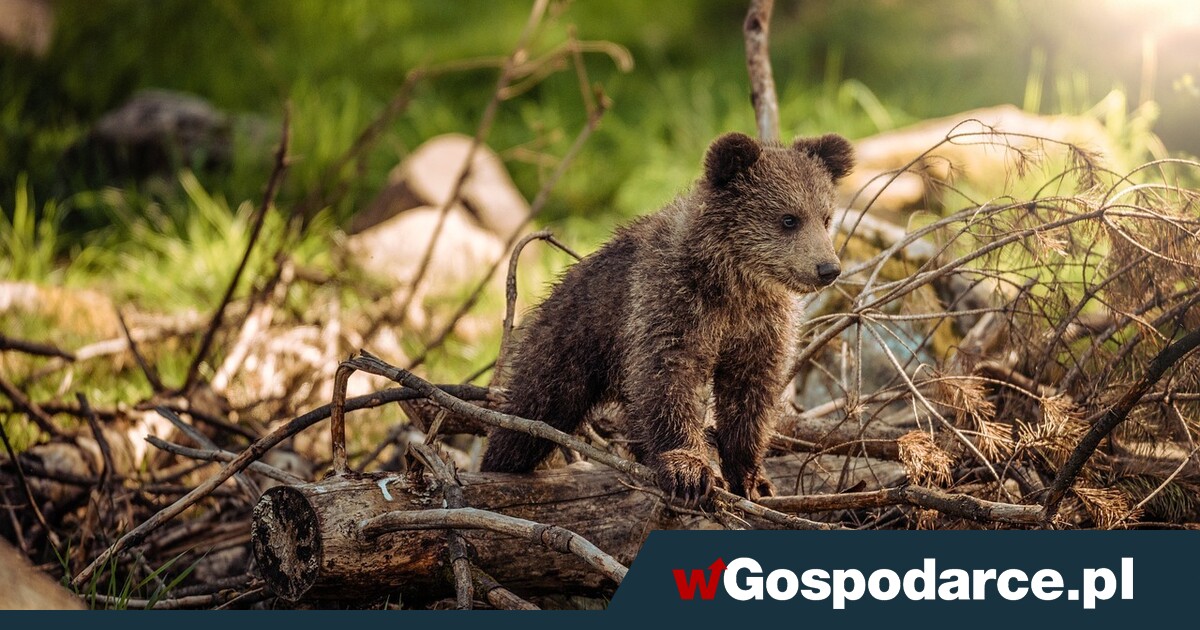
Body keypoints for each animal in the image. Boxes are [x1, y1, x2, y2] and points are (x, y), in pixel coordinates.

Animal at [477, 131, 854, 501]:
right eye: (788, 218)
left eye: (825, 217)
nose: (827, 268)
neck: (734, 283)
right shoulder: (671, 302)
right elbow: (668, 378)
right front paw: (688, 471)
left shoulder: (760, 325)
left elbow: (750, 394)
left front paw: (752, 478)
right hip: (569, 343)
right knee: (532, 413)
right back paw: (498, 464)